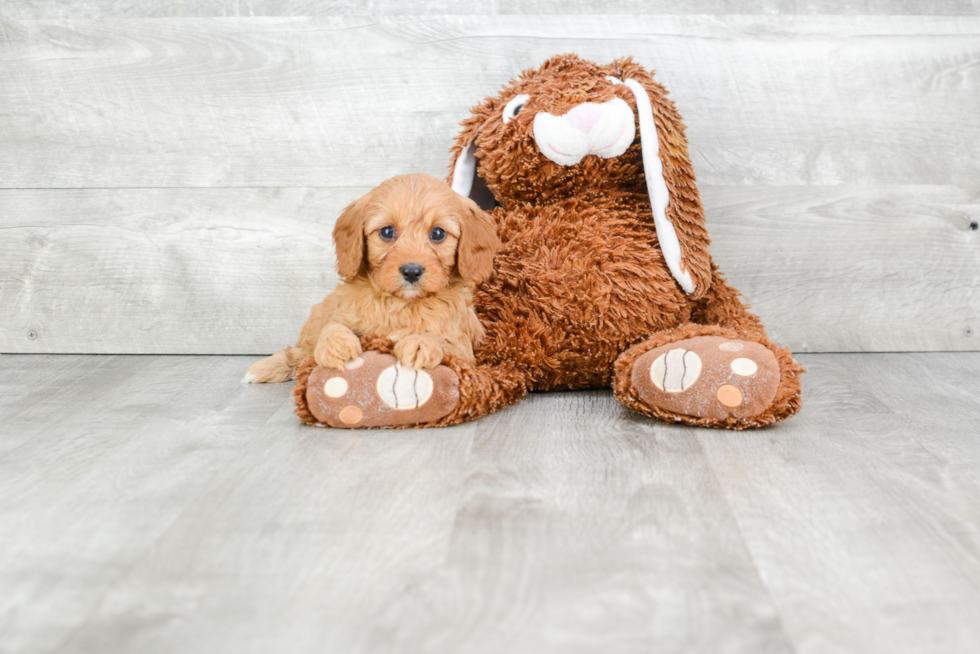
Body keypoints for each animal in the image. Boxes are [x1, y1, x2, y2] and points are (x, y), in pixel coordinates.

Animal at [242, 174, 502, 384]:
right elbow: (333, 327)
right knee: (300, 352)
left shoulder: (463, 349)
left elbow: (443, 342)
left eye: (437, 233)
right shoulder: (343, 314)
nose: (411, 271)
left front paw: (420, 343)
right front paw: (336, 344)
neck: (400, 304)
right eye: (387, 232)